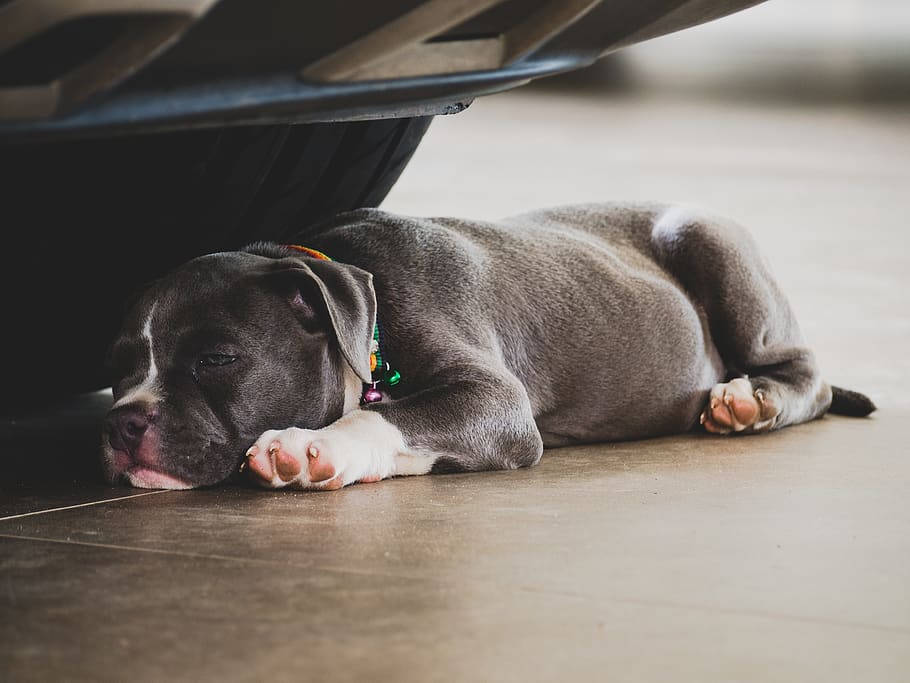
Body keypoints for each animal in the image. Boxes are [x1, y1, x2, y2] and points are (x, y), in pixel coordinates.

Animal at [103, 203, 880, 492]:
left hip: (705, 236)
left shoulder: (495, 401)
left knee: (806, 374)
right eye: (119, 367)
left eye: (217, 359)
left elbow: (385, 416)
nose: (122, 422)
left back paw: (749, 400)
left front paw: (311, 444)